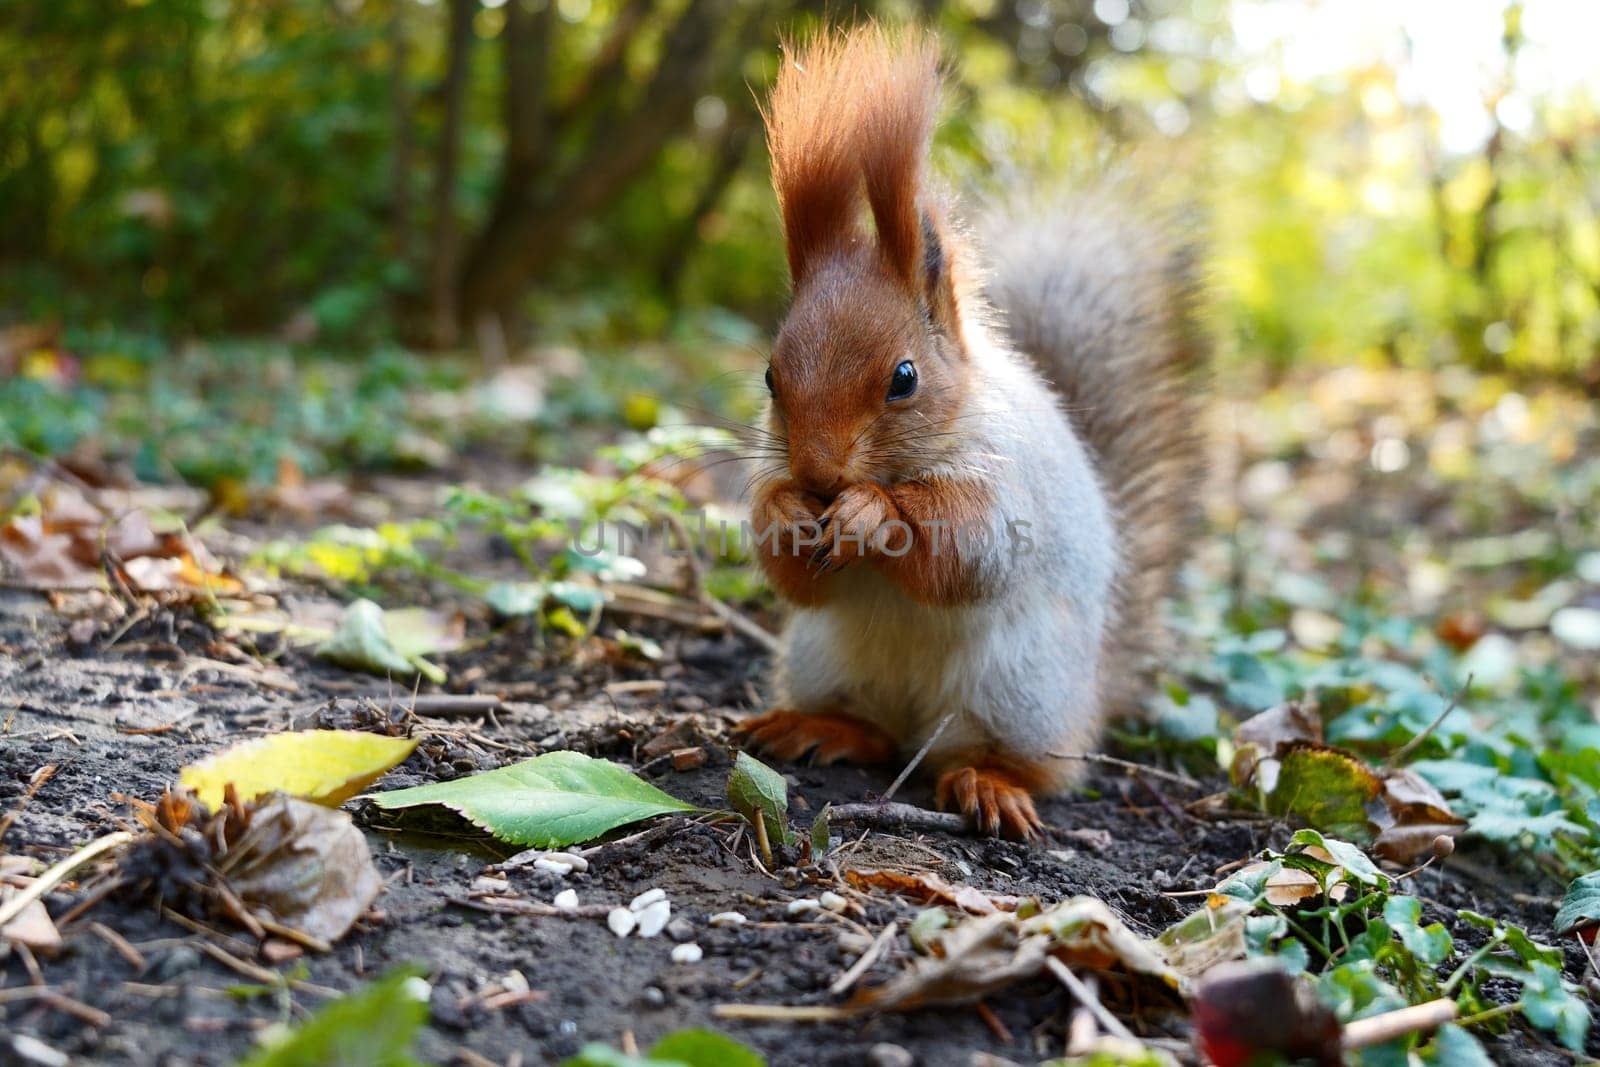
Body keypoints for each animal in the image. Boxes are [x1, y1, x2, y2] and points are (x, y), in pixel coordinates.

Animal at [732, 27, 1203, 844]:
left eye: (904, 378)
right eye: (769, 377)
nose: (819, 475)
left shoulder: (1009, 485)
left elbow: (969, 546)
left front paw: (872, 515)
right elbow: (791, 574)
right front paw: (785, 513)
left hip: (1020, 690)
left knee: (1015, 763)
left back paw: (990, 782)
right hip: (825, 659)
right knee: (877, 732)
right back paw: (819, 728)